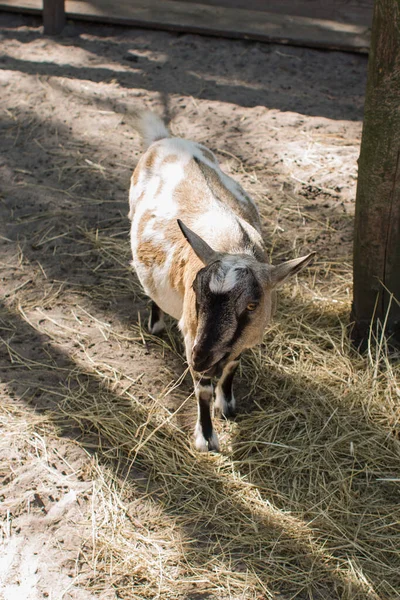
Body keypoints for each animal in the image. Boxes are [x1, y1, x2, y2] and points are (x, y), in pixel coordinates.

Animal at [130, 111, 314, 450]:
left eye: (253, 304)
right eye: (195, 291)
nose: (200, 357)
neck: (233, 245)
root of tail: (164, 139)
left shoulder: (241, 339)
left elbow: (231, 365)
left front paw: (226, 404)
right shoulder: (191, 332)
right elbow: (202, 387)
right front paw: (206, 437)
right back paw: (156, 324)